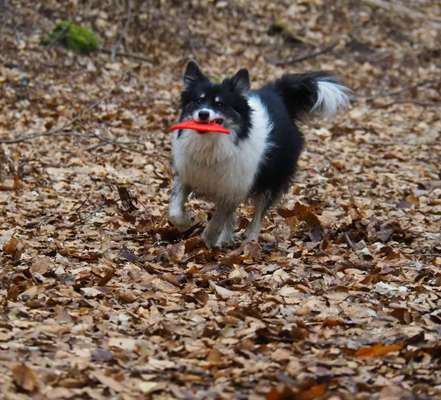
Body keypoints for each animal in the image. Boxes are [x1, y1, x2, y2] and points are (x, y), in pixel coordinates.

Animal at [167, 61, 348, 248]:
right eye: (198, 100)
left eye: (220, 104)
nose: (203, 113)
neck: (211, 144)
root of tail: (279, 94)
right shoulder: (188, 175)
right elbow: (174, 212)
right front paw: (186, 223)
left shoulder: (234, 187)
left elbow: (218, 219)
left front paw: (207, 239)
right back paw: (226, 238)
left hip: (270, 179)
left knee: (258, 213)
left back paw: (250, 241)